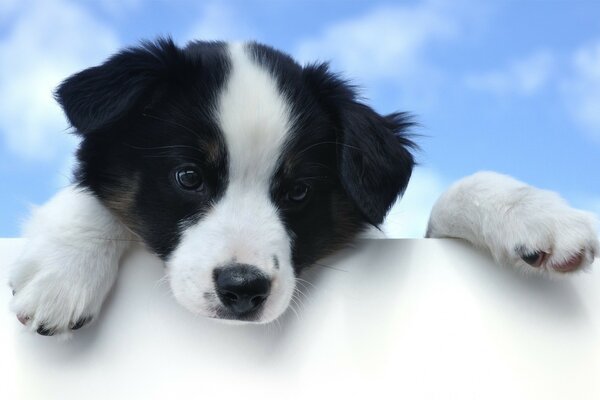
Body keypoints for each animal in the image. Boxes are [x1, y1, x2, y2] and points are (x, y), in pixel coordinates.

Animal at [9, 39, 600, 336]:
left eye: (297, 192)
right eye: (188, 177)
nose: (243, 290)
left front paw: (534, 213)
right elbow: (91, 198)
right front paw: (62, 274)